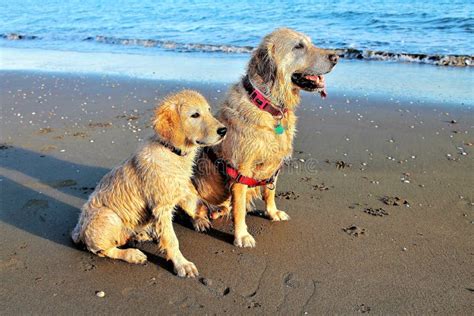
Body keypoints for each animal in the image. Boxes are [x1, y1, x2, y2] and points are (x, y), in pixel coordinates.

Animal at [71, 90, 228, 276]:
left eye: (209, 110)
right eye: (195, 115)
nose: (224, 130)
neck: (172, 151)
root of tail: (77, 232)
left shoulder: (181, 187)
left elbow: (193, 201)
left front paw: (207, 214)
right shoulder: (162, 207)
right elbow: (171, 239)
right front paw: (182, 264)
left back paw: (142, 235)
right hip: (108, 216)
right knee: (103, 250)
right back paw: (133, 254)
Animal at [192, 27, 336, 247]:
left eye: (310, 42)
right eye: (299, 46)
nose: (336, 57)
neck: (268, 105)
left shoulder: (273, 166)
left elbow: (270, 192)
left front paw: (272, 212)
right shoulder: (241, 169)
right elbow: (239, 209)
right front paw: (242, 235)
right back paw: (201, 220)